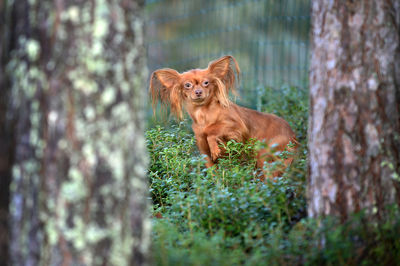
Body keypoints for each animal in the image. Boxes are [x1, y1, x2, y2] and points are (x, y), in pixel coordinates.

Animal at [150, 55, 296, 180]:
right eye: (187, 85)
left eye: (206, 83)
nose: (198, 92)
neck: (203, 114)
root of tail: (292, 134)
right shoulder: (206, 156)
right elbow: (215, 177)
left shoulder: (237, 129)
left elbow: (212, 130)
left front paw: (214, 146)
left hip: (264, 155)